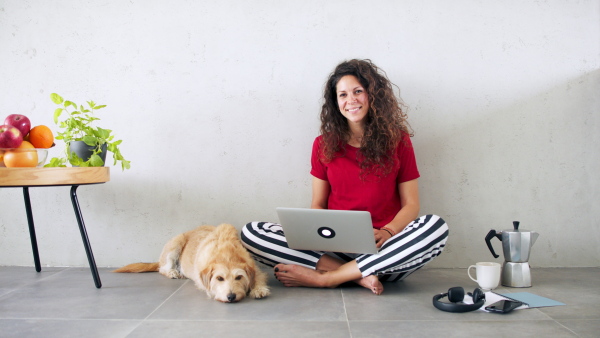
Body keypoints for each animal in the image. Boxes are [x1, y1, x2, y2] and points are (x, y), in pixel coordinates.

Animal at [113, 223, 272, 302]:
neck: (226, 254)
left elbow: (258, 277)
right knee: (162, 268)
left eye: (239, 277)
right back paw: (173, 272)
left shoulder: (254, 268)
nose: (231, 297)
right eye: (219, 278)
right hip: (175, 244)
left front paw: (258, 289)